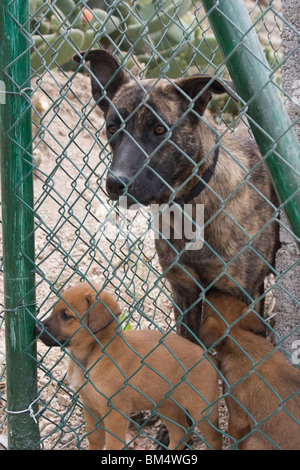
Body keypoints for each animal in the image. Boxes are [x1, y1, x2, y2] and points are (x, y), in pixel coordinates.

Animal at [35, 282, 223, 452]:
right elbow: (94, 440)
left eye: (66, 316)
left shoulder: (115, 414)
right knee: (181, 433)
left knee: (214, 438)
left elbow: (112, 444)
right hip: (167, 405)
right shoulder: (90, 407)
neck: (92, 355)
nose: (37, 328)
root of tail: (209, 357)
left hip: (202, 410)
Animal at [72, 50, 278, 342]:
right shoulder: (184, 290)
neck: (189, 208)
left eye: (160, 130)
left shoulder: (242, 292)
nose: (115, 183)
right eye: (112, 128)